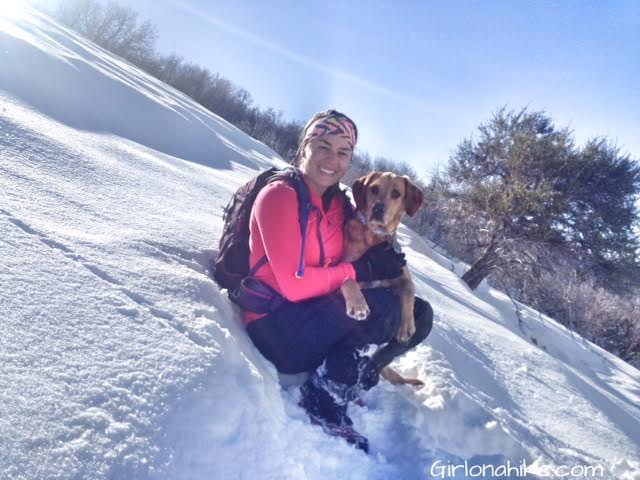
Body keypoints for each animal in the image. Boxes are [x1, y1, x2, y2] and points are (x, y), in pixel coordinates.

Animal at [340, 172, 424, 386]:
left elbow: (409, 288)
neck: (374, 238)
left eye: (396, 193)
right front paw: (358, 304)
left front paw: (407, 326)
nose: (378, 208)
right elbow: (348, 278)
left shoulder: (400, 272)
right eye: (374, 189)